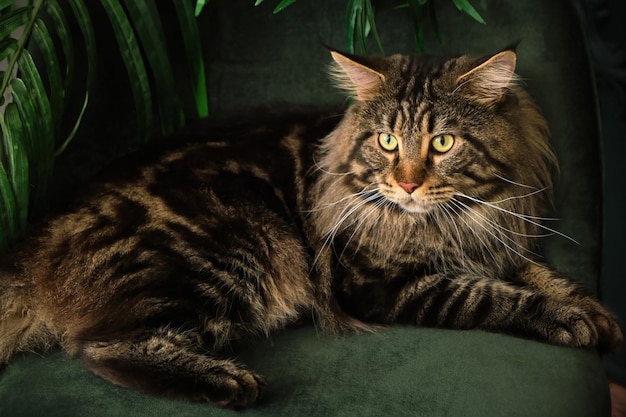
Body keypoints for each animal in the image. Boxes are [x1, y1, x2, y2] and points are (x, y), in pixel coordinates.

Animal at [0, 48, 620, 406]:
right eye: (387, 141)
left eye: (442, 142)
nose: (408, 184)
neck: (447, 223)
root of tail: (32, 248)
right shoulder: (379, 284)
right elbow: (490, 296)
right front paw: (569, 321)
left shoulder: (502, 244)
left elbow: (543, 277)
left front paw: (597, 315)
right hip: (236, 249)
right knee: (102, 348)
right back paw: (228, 383)